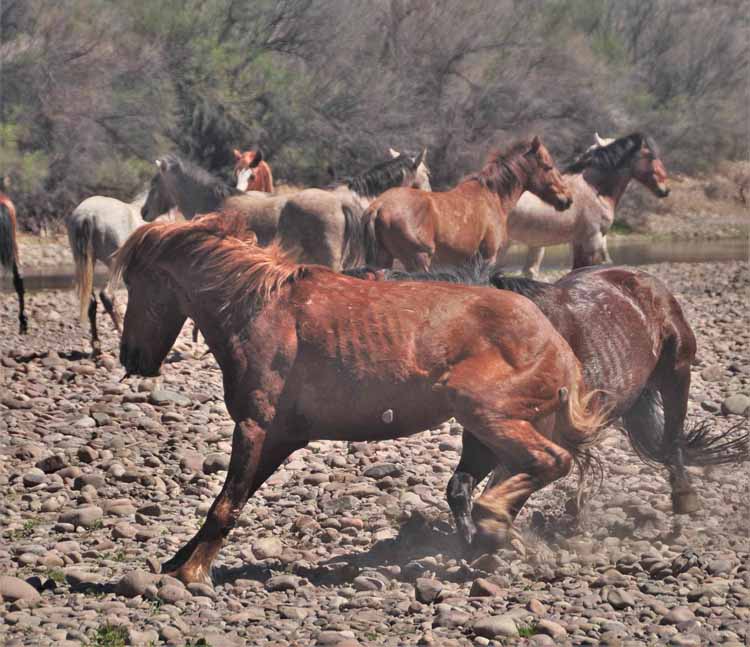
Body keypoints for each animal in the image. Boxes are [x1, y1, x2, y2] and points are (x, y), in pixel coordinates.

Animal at [113, 215, 612, 584]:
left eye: (136, 283)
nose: (130, 357)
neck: (261, 309)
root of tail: (558, 344)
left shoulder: (253, 427)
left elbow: (226, 503)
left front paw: (194, 572)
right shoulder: (279, 437)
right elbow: (232, 498)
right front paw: (178, 561)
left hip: (483, 411)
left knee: (550, 462)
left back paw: (491, 525)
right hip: (487, 431)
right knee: (499, 478)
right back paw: (488, 539)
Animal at [346, 264, 748, 548]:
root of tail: (641, 280)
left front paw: (493, 534)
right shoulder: (486, 434)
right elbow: (461, 486)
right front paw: (471, 541)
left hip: (677, 370)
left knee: (674, 437)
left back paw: (685, 499)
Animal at [362, 138, 568, 272]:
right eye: (548, 166)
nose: (567, 198)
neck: (492, 195)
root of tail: (378, 207)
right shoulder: (488, 258)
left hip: (383, 261)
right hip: (417, 262)